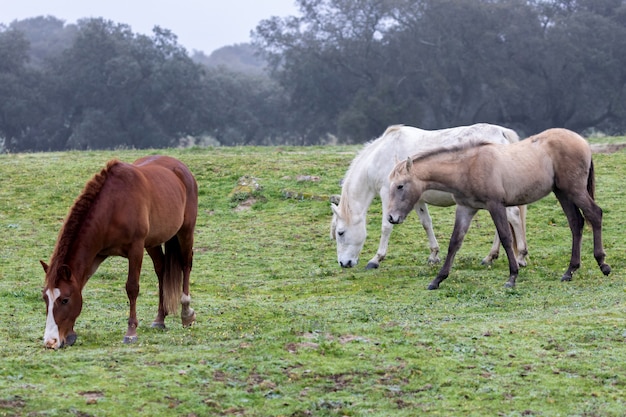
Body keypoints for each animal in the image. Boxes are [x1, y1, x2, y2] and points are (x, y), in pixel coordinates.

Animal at [41, 154, 196, 346]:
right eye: (45, 298)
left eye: (64, 300)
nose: (50, 341)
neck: (113, 206)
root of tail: (181, 168)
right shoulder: (97, 255)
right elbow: (80, 284)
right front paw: (70, 334)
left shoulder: (136, 248)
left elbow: (132, 288)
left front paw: (131, 332)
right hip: (152, 242)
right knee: (162, 269)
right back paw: (160, 319)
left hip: (185, 231)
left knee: (186, 264)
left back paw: (186, 313)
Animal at [332, 122, 528, 270]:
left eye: (341, 233)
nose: (344, 263)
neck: (380, 156)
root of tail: (502, 132)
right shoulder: (416, 199)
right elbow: (426, 223)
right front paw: (433, 255)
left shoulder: (388, 194)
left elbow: (386, 226)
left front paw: (376, 259)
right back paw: (490, 257)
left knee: (513, 217)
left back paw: (520, 256)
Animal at [386, 128, 608, 288]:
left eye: (400, 186)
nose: (391, 217)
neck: (468, 167)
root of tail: (582, 142)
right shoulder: (465, 208)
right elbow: (455, 242)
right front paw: (437, 279)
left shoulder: (495, 205)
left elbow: (506, 237)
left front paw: (512, 277)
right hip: (562, 192)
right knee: (576, 223)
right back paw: (570, 271)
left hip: (574, 190)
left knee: (594, 214)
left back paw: (603, 264)